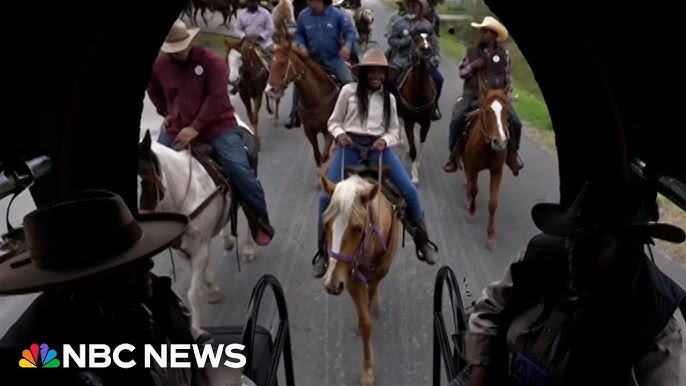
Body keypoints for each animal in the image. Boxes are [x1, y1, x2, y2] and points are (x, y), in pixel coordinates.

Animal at [137, 116, 258, 330]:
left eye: (146, 182)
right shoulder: (183, 248)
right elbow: (205, 275)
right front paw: (214, 290)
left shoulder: (199, 248)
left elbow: (194, 294)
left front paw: (197, 328)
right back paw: (227, 240)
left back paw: (249, 249)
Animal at [266, 35, 342, 174]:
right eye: (270, 64)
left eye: (283, 63)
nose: (270, 90)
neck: (316, 100)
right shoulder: (309, 131)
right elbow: (317, 156)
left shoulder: (328, 132)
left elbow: (325, 157)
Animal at [322, 172, 404, 386]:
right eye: (325, 224)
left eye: (358, 228)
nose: (332, 283)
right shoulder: (351, 280)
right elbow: (365, 323)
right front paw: (368, 370)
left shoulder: (376, 276)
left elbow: (370, 297)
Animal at [396, 31, 438, 185]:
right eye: (416, 39)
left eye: (430, 39)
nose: (426, 49)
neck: (418, 94)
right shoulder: (409, 121)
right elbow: (413, 147)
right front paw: (414, 175)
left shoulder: (426, 123)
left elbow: (421, 145)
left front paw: (417, 165)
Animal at [456, 82, 510, 250]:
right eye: (487, 111)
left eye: (506, 111)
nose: (500, 142)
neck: (486, 148)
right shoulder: (472, 166)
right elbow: (474, 189)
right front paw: (472, 213)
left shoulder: (497, 172)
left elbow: (493, 203)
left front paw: (491, 236)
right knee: (469, 179)